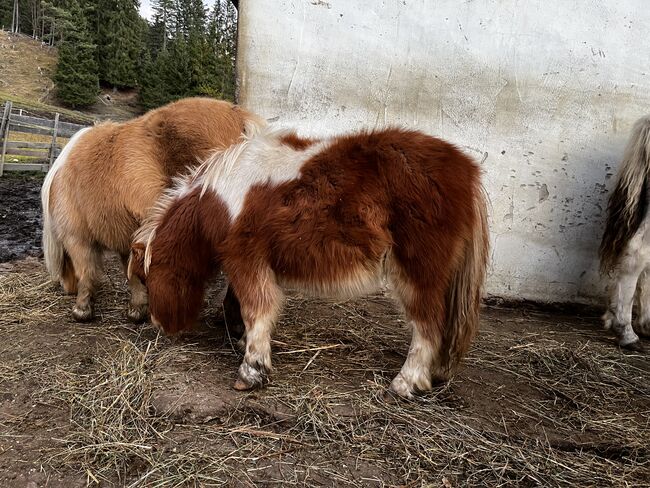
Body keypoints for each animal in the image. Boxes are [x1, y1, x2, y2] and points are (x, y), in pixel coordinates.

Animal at [38, 97, 258, 322]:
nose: (67, 289)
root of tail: (240, 120)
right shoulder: (128, 237)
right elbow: (132, 273)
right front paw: (137, 309)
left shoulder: (77, 238)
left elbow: (87, 272)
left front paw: (82, 310)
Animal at [129, 124, 488, 398]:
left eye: (146, 277)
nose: (154, 324)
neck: (218, 198)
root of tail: (465, 170)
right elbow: (238, 302)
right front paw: (242, 339)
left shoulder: (246, 258)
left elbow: (257, 308)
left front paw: (252, 370)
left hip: (418, 273)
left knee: (428, 326)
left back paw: (405, 384)